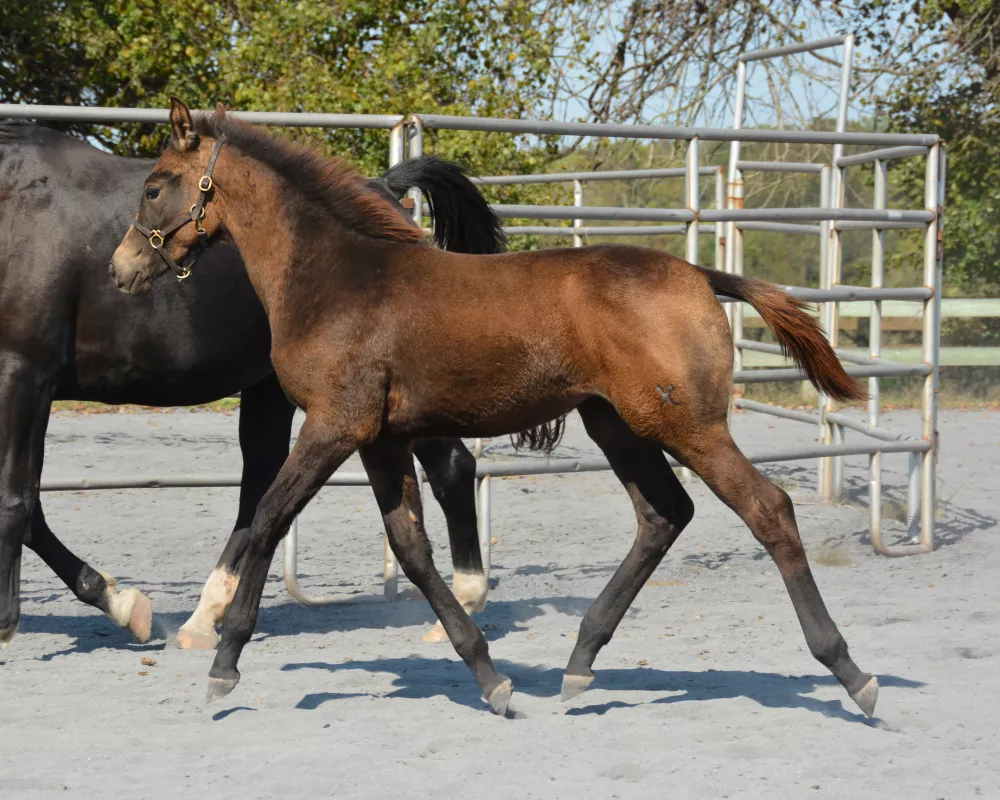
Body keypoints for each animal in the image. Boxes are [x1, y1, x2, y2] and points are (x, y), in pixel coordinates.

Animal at [0, 122, 512, 652]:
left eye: (154, 192)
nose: (119, 269)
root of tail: (385, 191)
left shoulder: (23, 373)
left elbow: (16, 500)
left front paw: (13, 621)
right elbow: (30, 505)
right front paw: (120, 603)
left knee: (451, 466)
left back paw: (463, 601)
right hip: (280, 392)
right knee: (263, 481)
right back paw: (204, 617)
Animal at [107, 100, 876, 720]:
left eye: (153, 186)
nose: (120, 268)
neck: (337, 277)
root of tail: (700, 274)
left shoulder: (334, 426)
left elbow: (267, 520)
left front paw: (222, 663)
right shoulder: (380, 439)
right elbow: (413, 550)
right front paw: (491, 679)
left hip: (687, 425)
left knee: (767, 509)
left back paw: (852, 673)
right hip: (616, 424)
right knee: (664, 515)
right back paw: (579, 664)